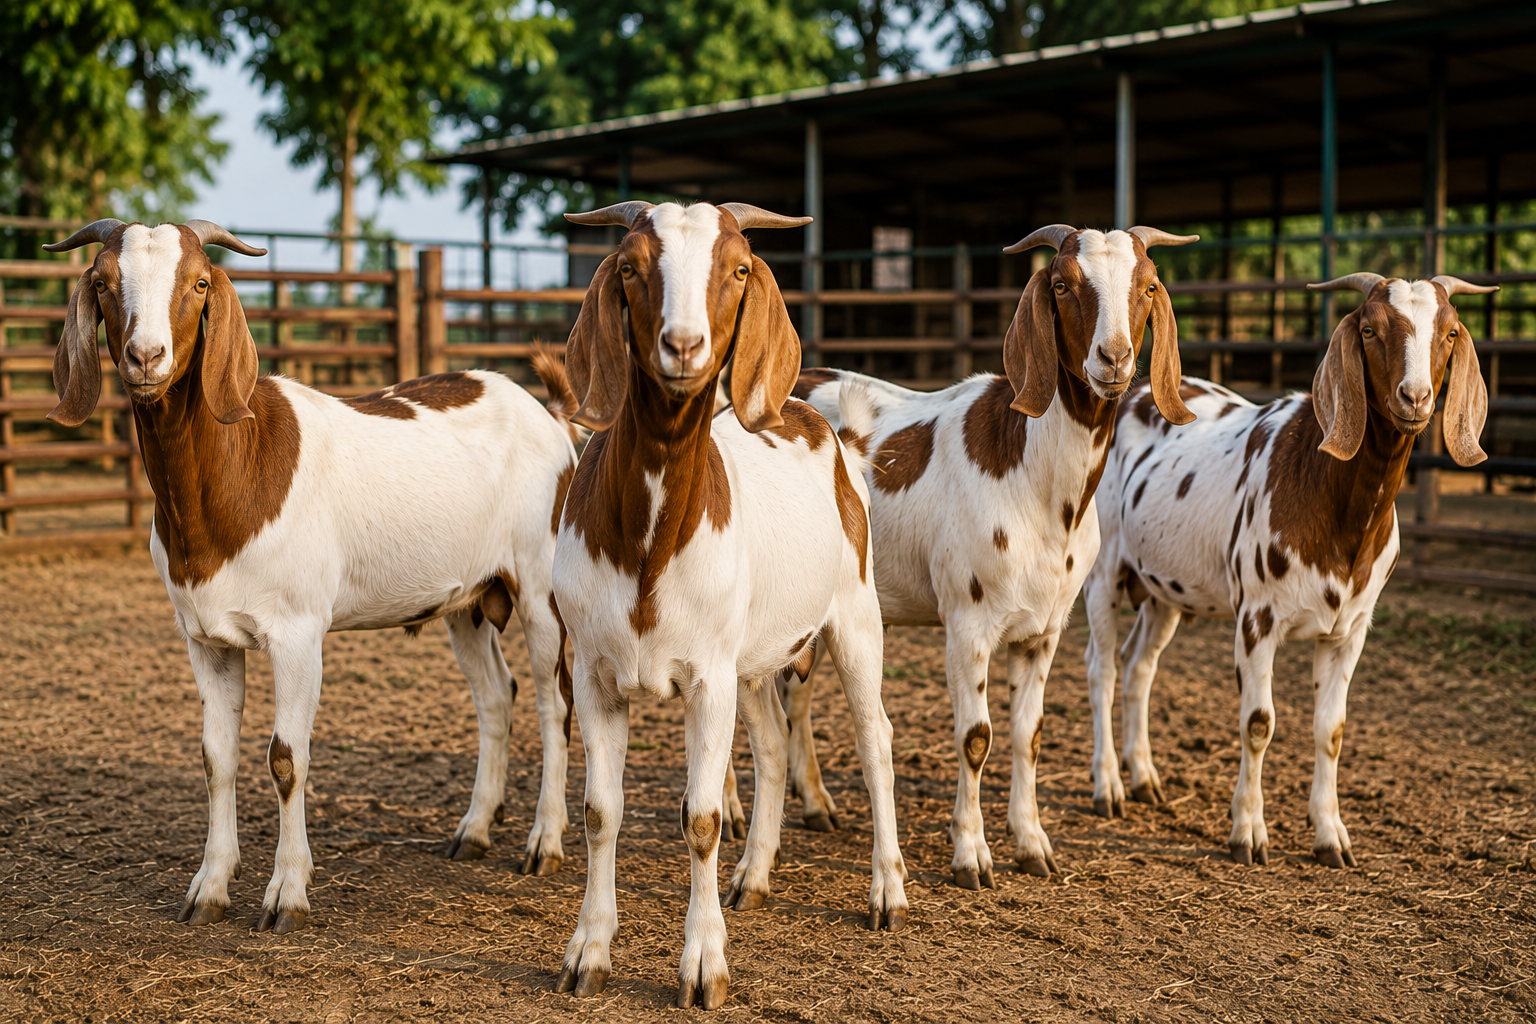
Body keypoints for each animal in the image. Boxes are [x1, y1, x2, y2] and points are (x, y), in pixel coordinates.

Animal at [44, 219, 580, 932]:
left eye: (200, 283)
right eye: (103, 283)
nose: (146, 357)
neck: (235, 464)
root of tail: (548, 416)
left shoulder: (297, 632)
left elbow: (285, 757)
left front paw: (287, 893)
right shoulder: (203, 637)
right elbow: (216, 756)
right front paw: (208, 887)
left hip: (540, 581)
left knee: (555, 700)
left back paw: (544, 843)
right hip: (469, 596)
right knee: (497, 694)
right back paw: (473, 831)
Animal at [549, 200, 906, 1010]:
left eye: (739, 269)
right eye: (630, 268)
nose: (683, 346)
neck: (649, 540)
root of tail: (818, 420)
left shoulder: (706, 678)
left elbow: (704, 818)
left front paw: (704, 966)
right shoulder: (594, 672)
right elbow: (600, 812)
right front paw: (588, 952)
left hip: (855, 616)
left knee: (875, 738)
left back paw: (888, 893)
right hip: (754, 653)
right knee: (773, 742)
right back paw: (755, 877)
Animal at [778, 224, 1197, 889]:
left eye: (1149, 286)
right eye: (1062, 285)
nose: (1113, 359)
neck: (1031, 474)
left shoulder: (1043, 630)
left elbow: (1029, 735)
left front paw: (1031, 843)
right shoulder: (967, 623)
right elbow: (976, 738)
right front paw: (971, 854)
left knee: (795, 690)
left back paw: (817, 803)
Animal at [1082, 272, 1493, 867]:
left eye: (1451, 332)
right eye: (1369, 330)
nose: (1414, 397)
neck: (1328, 492)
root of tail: (1129, 393)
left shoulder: (1350, 629)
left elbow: (1332, 730)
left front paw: (1331, 835)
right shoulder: (1257, 619)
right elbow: (1258, 723)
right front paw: (1248, 832)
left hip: (1163, 589)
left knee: (1139, 665)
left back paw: (1144, 779)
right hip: (1105, 568)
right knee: (1102, 667)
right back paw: (1108, 786)